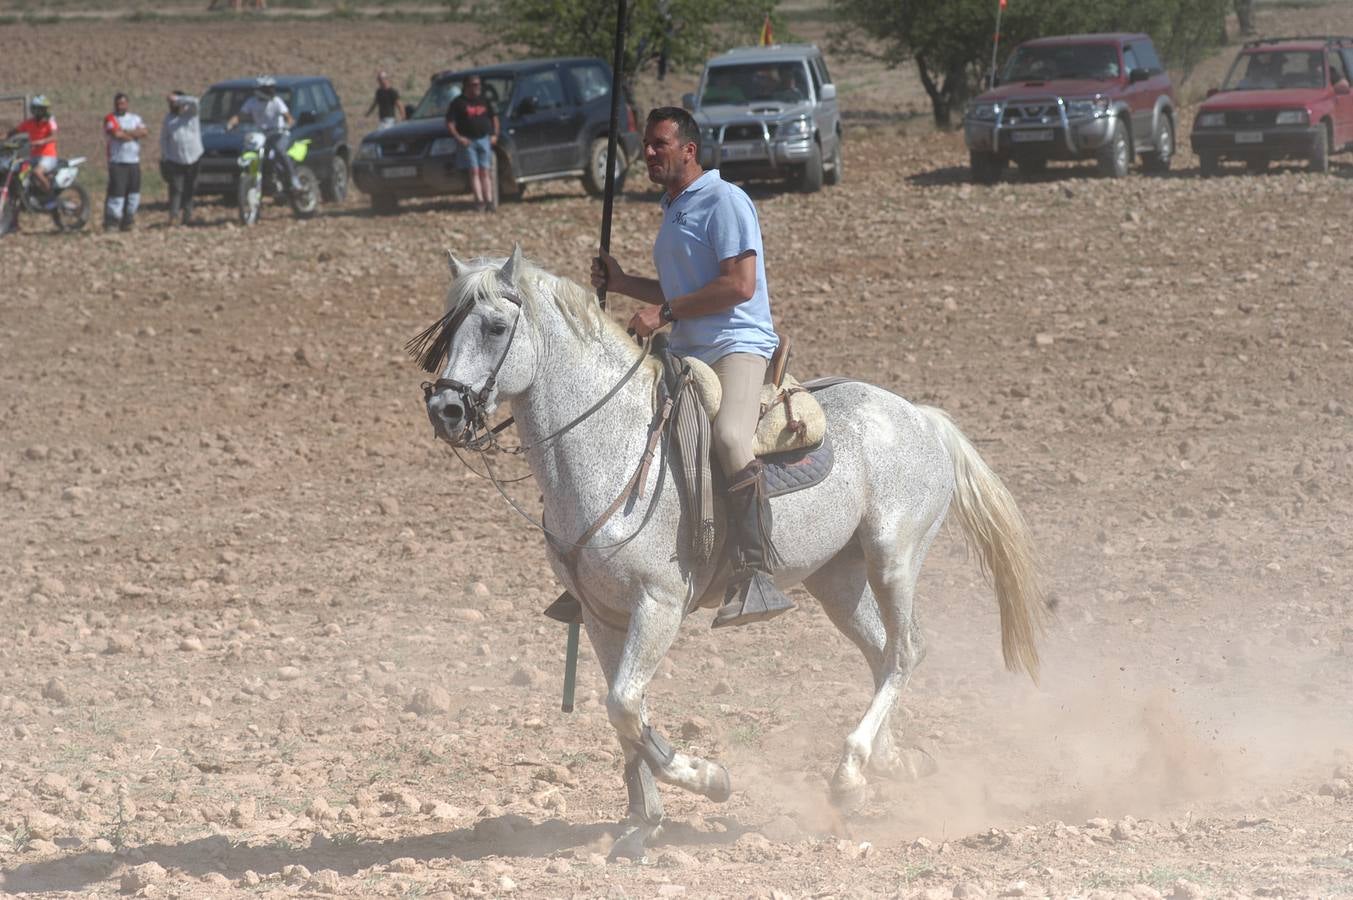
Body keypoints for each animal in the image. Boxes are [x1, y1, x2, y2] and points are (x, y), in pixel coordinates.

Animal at [416, 247, 1049, 855]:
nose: (445, 410)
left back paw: (849, 775)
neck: (616, 446)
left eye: (496, 326)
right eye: (446, 329)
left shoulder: (659, 604)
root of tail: (921, 416)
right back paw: (891, 764)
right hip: (837, 580)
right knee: (881, 651)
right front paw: (643, 824)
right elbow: (624, 714)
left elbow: (624, 705)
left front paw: (709, 778)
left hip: (893, 558)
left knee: (905, 650)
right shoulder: (600, 615)